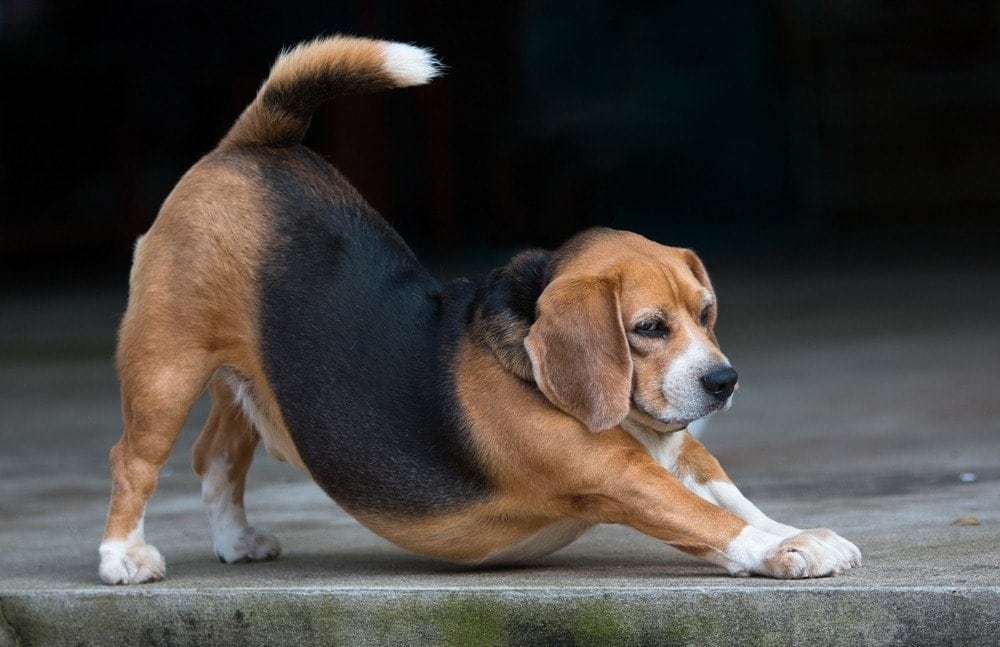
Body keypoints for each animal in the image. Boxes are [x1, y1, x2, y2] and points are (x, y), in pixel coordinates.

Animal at [97, 35, 860, 584]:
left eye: (706, 315)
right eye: (648, 328)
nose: (723, 381)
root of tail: (253, 145)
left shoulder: (682, 450)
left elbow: (732, 496)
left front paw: (801, 531)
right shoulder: (620, 476)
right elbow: (710, 520)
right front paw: (786, 549)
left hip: (252, 374)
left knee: (215, 455)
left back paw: (236, 540)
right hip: (165, 367)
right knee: (132, 458)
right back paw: (122, 557)